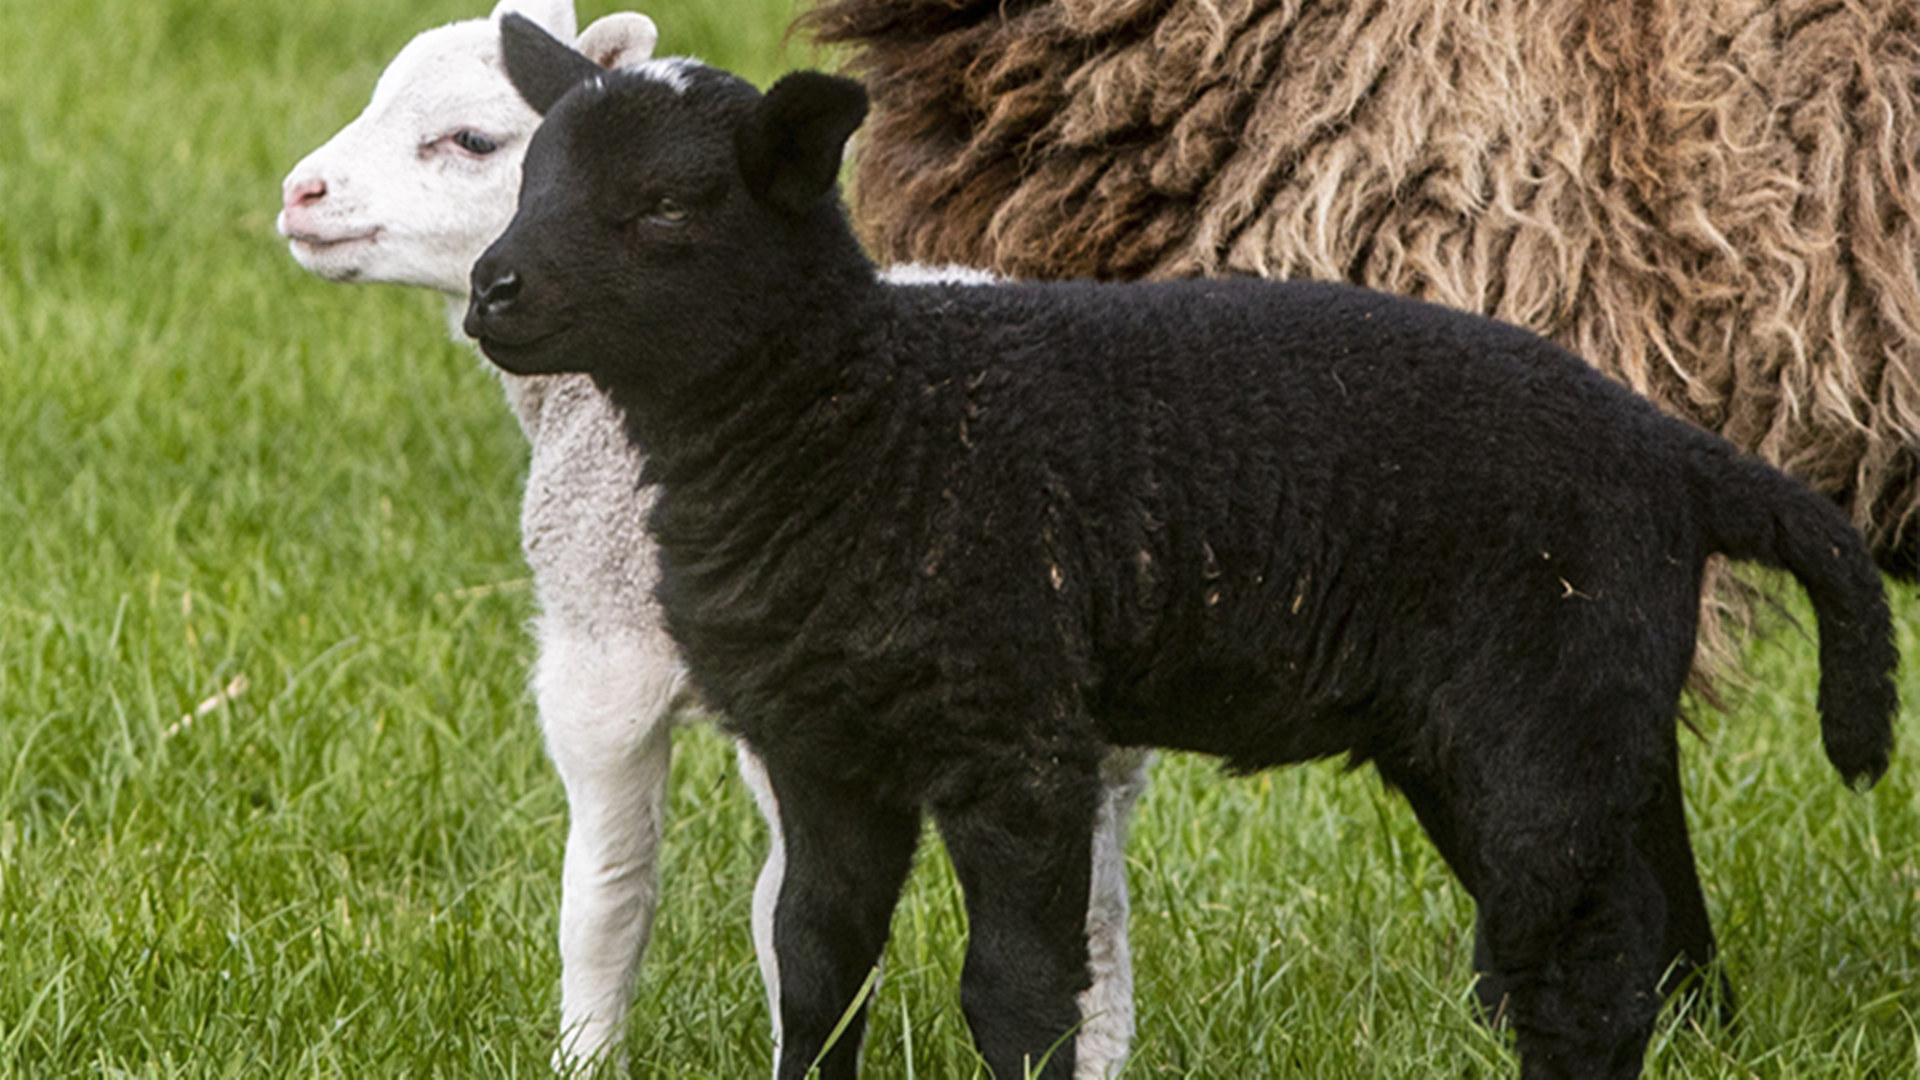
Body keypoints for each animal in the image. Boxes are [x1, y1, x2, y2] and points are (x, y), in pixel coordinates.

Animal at [278, 4, 1144, 1068]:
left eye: (472, 141)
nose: (300, 194)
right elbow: (785, 909)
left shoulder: (605, 661)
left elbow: (609, 898)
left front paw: (585, 1054)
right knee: (1096, 938)